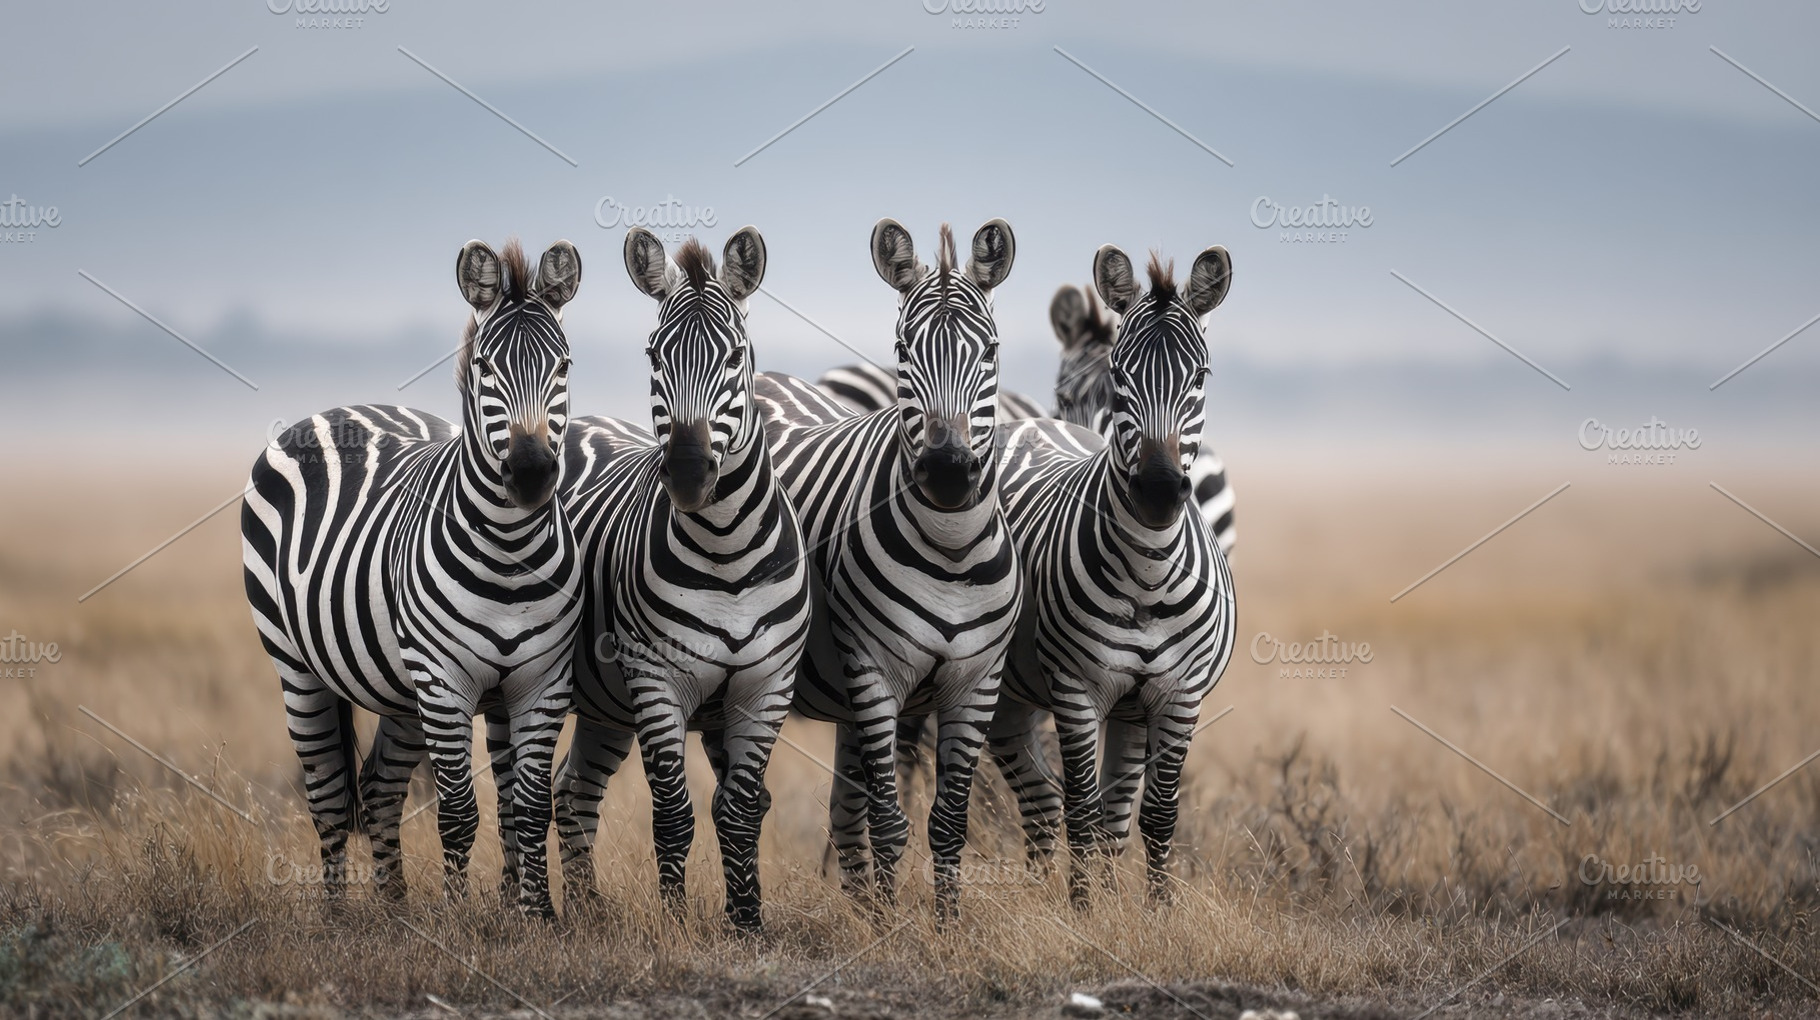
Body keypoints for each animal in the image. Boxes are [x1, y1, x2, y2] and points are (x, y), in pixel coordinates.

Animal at [242, 238, 583, 917]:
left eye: (562, 366)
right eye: (485, 369)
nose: (533, 474)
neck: (511, 552)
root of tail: (345, 408)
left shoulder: (542, 681)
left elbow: (532, 808)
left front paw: (539, 917)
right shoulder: (444, 680)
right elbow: (458, 812)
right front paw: (456, 918)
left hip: (400, 688)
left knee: (377, 789)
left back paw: (395, 911)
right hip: (297, 665)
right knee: (327, 797)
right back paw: (337, 918)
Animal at [551, 227, 810, 933]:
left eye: (737, 356)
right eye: (653, 355)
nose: (690, 475)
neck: (728, 556)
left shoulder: (767, 683)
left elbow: (741, 810)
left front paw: (746, 921)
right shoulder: (654, 678)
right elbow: (673, 812)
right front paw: (673, 922)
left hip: (604, 705)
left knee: (571, 791)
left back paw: (587, 905)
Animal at [754, 219, 1023, 921]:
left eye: (991, 350)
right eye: (903, 349)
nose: (949, 471)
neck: (952, 552)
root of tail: (769, 377)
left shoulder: (976, 682)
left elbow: (948, 821)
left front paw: (945, 927)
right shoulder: (874, 671)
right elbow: (890, 820)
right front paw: (891, 927)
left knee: (844, 814)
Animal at [988, 244, 1238, 905]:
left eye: (1200, 377)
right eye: (1124, 375)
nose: (1157, 491)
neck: (1147, 574)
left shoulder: (1178, 694)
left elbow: (1155, 815)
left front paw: (1155, 914)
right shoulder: (1075, 689)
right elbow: (1083, 810)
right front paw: (1081, 914)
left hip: (1099, 706)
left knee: (1075, 805)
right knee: (1047, 801)